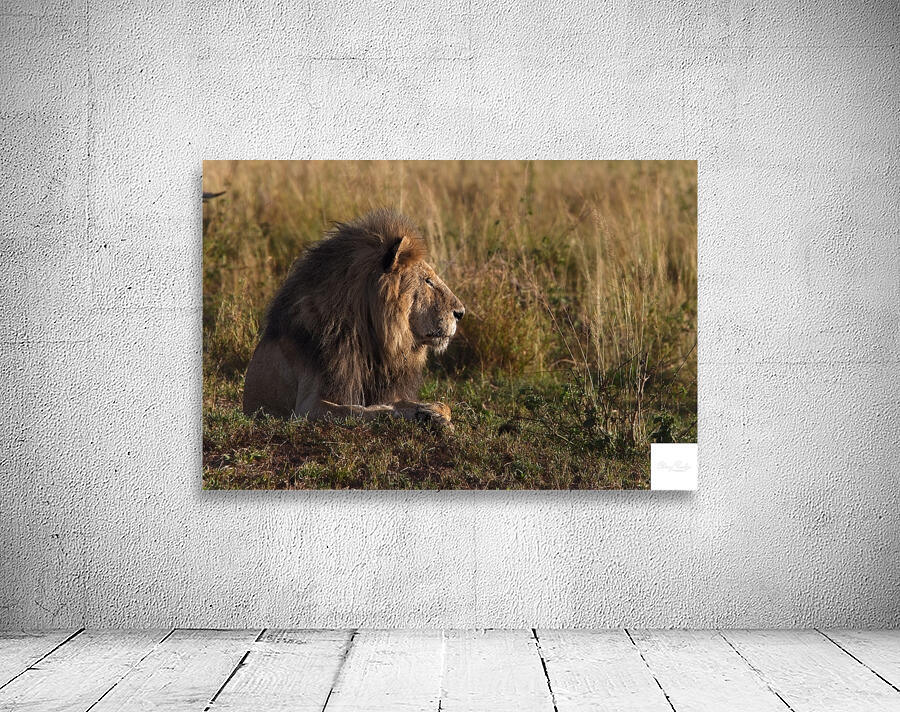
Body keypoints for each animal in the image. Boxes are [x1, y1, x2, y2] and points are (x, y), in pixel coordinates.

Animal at [242, 209, 465, 428]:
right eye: (428, 281)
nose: (461, 313)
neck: (370, 338)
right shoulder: (307, 408)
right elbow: (362, 410)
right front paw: (425, 415)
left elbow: (443, 405)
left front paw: (432, 411)